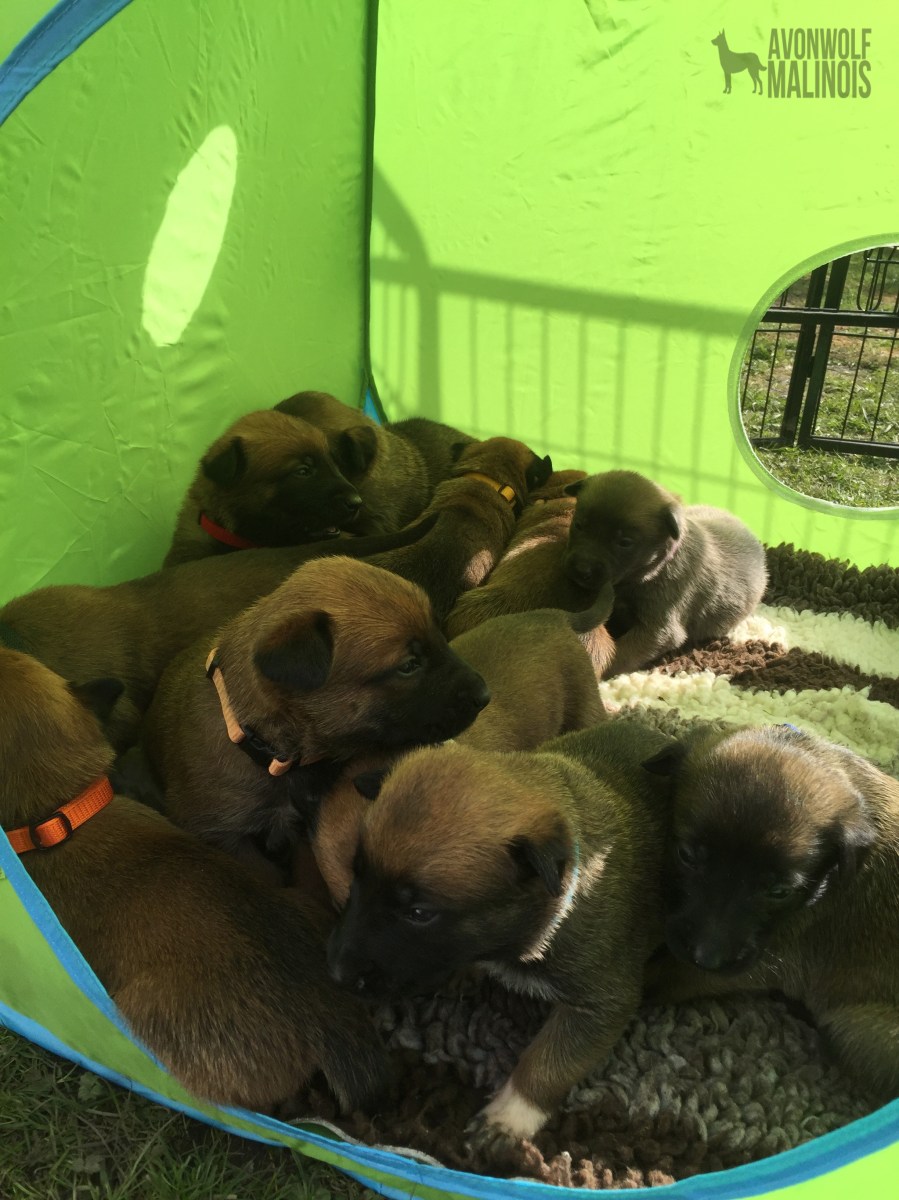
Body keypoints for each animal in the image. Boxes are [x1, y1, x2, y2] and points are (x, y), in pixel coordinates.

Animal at [326, 721, 674, 1152]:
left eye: (420, 914)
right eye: (357, 875)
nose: (336, 973)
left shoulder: (601, 1003)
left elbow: (549, 1061)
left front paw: (509, 1116)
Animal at [642, 722, 899, 1102]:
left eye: (779, 892)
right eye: (686, 855)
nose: (706, 957)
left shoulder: (763, 961)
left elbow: (654, 978)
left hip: (859, 1028)